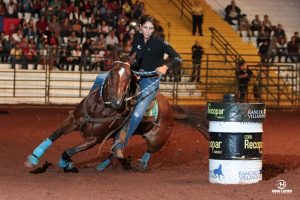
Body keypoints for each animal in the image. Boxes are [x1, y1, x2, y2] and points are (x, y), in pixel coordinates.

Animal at [24, 57, 177, 173]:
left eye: (129, 76)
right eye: (110, 73)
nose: (117, 102)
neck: (98, 108)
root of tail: (169, 106)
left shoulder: (94, 139)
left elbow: (67, 152)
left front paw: (68, 164)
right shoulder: (73, 120)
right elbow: (54, 135)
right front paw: (33, 158)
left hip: (156, 140)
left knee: (142, 151)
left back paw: (140, 165)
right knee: (115, 151)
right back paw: (109, 165)